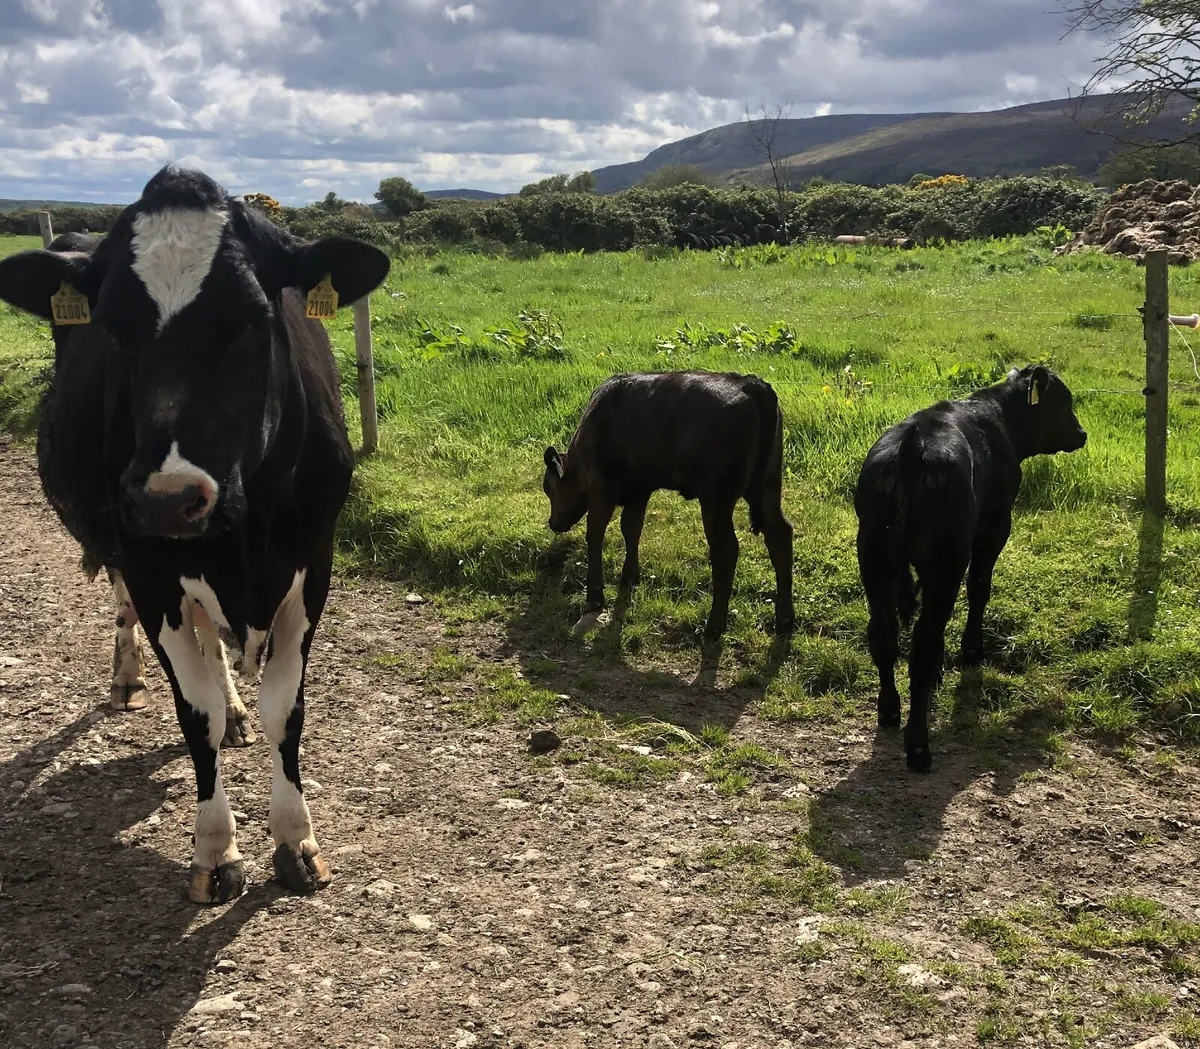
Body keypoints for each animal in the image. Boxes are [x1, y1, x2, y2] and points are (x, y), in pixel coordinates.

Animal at [542, 370, 794, 641]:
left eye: (549, 488)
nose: (553, 523)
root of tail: (748, 383)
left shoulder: (602, 488)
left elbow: (595, 534)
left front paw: (594, 598)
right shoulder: (639, 490)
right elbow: (631, 528)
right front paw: (629, 577)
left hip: (716, 498)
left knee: (726, 550)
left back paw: (714, 626)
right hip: (767, 486)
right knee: (779, 535)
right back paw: (785, 619)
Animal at [854, 364, 1087, 773]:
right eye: (1064, 402)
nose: (1081, 434)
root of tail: (913, 446)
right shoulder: (994, 528)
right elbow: (980, 587)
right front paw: (971, 651)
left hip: (875, 557)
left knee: (884, 633)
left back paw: (890, 711)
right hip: (945, 561)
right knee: (924, 642)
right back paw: (918, 747)